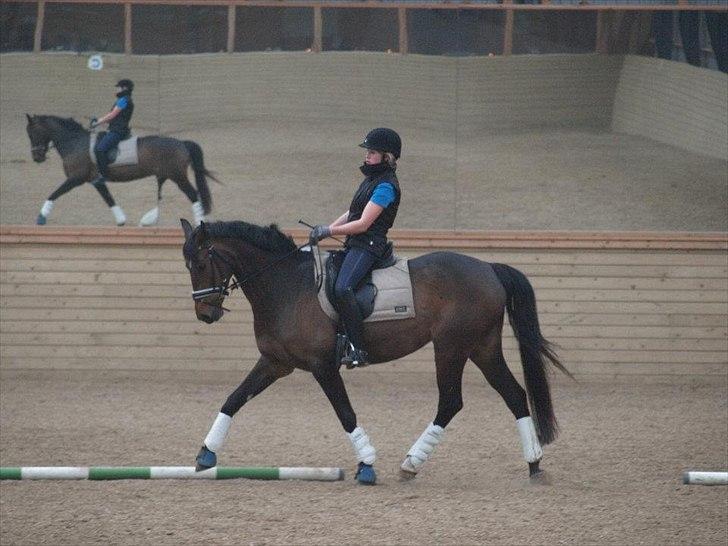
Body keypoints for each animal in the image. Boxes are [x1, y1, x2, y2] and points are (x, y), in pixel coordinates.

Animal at [26, 115, 219, 225]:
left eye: (32, 132)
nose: (37, 158)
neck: (75, 143)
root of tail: (181, 143)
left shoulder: (75, 179)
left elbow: (54, 194)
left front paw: (41, 217)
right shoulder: (96, 181)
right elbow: (108, 199)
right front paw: (121, 220)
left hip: (178, 176)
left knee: (193, 195)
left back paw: (200, 222)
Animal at [181, 219, 568, 482]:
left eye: (199, 264)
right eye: (188, 267)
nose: (206, 314)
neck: (287, 286)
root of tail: (488, 268)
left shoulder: (322, 366)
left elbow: (345, 413)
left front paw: (366, 464)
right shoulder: (275, 363)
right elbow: (234, 398)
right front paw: (205, 455)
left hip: (451, 347)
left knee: (451, 402)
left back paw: (411, 463)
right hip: (482, 347)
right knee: (514, 395)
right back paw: (534, 464)